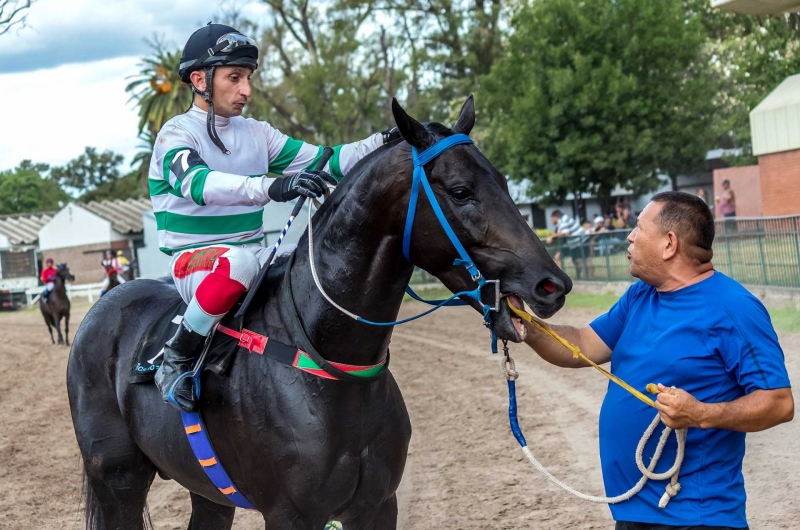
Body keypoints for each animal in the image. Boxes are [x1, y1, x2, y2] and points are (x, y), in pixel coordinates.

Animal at [65, 98, 572, 528]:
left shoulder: (377, 505)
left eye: (503, 182)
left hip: (206, 492)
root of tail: (100, 310)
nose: (552, 285)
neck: (326, 358)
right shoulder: (291, 514)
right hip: (119, 482)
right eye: (461, 190)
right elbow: (194, 175)